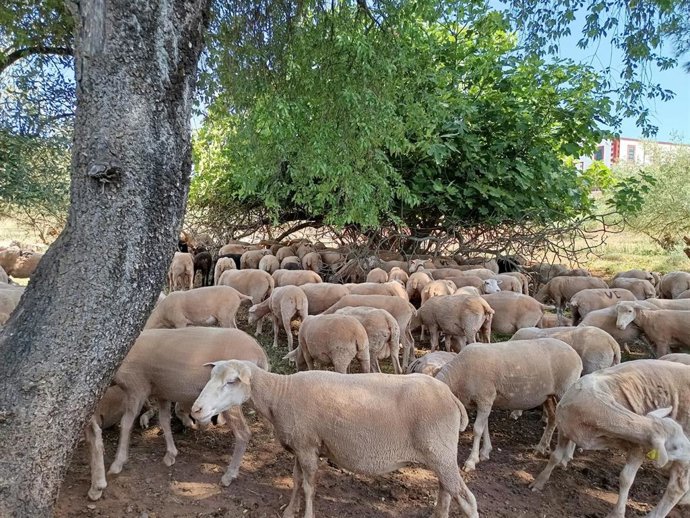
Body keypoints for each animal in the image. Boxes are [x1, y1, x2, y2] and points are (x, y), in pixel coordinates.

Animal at [104, 328, 268, 493]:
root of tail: (260, 353)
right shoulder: (162, 392)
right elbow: (164, 421)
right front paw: (171, 454)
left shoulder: (137, 387)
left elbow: (126, 423)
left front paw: (117, 463)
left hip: (230, 402)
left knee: (243, 434)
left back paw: (229, 475)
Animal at [190, 361, 479, 518]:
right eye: (211, 377)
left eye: (231, 381)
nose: (196, 410)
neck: (279, 394)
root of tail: (451, 396)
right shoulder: (301, 444)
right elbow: (296, 481)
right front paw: (289, 510)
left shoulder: (307, 447)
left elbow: (309, 486)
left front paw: (306, 513)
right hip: (440, 453)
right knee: (446, 491)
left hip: (439, 450)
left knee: (467, 500)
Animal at [436, 338, 582, 471]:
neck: (459, 375)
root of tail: (577, 356)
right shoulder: (484, 402)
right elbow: (485, 427)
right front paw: (485, 452)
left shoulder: (485, 399)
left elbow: (477, 429)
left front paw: (471, 461)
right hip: (548, 395)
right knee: (552, 419)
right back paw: (541, 448)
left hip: (566, 390)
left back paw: (565, 459)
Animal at [530, 360, 690, 518]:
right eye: (675, 446)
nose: (689, 449)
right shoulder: (564, 430)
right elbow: (555, 457)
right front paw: (539, 483)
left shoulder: (639, 445)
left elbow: (626, 479)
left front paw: (617, 514)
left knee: (677, 488)